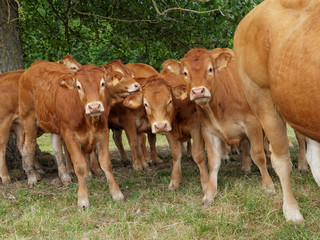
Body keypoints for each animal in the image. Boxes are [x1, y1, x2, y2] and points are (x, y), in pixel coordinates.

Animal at [17, 61, 138, 207]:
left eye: (102, 83)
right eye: (79, 86)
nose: (94, 107)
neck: (89, 121)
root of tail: (35, 65)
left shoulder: (103, 133)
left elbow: (106, 163)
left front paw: (116, 194)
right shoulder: (70, 136)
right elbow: (79, 166)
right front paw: (83, 199)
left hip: (54, 125)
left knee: (56, 149)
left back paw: (64, 176)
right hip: (28, 118)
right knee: (29, 146)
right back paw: (32, 177)